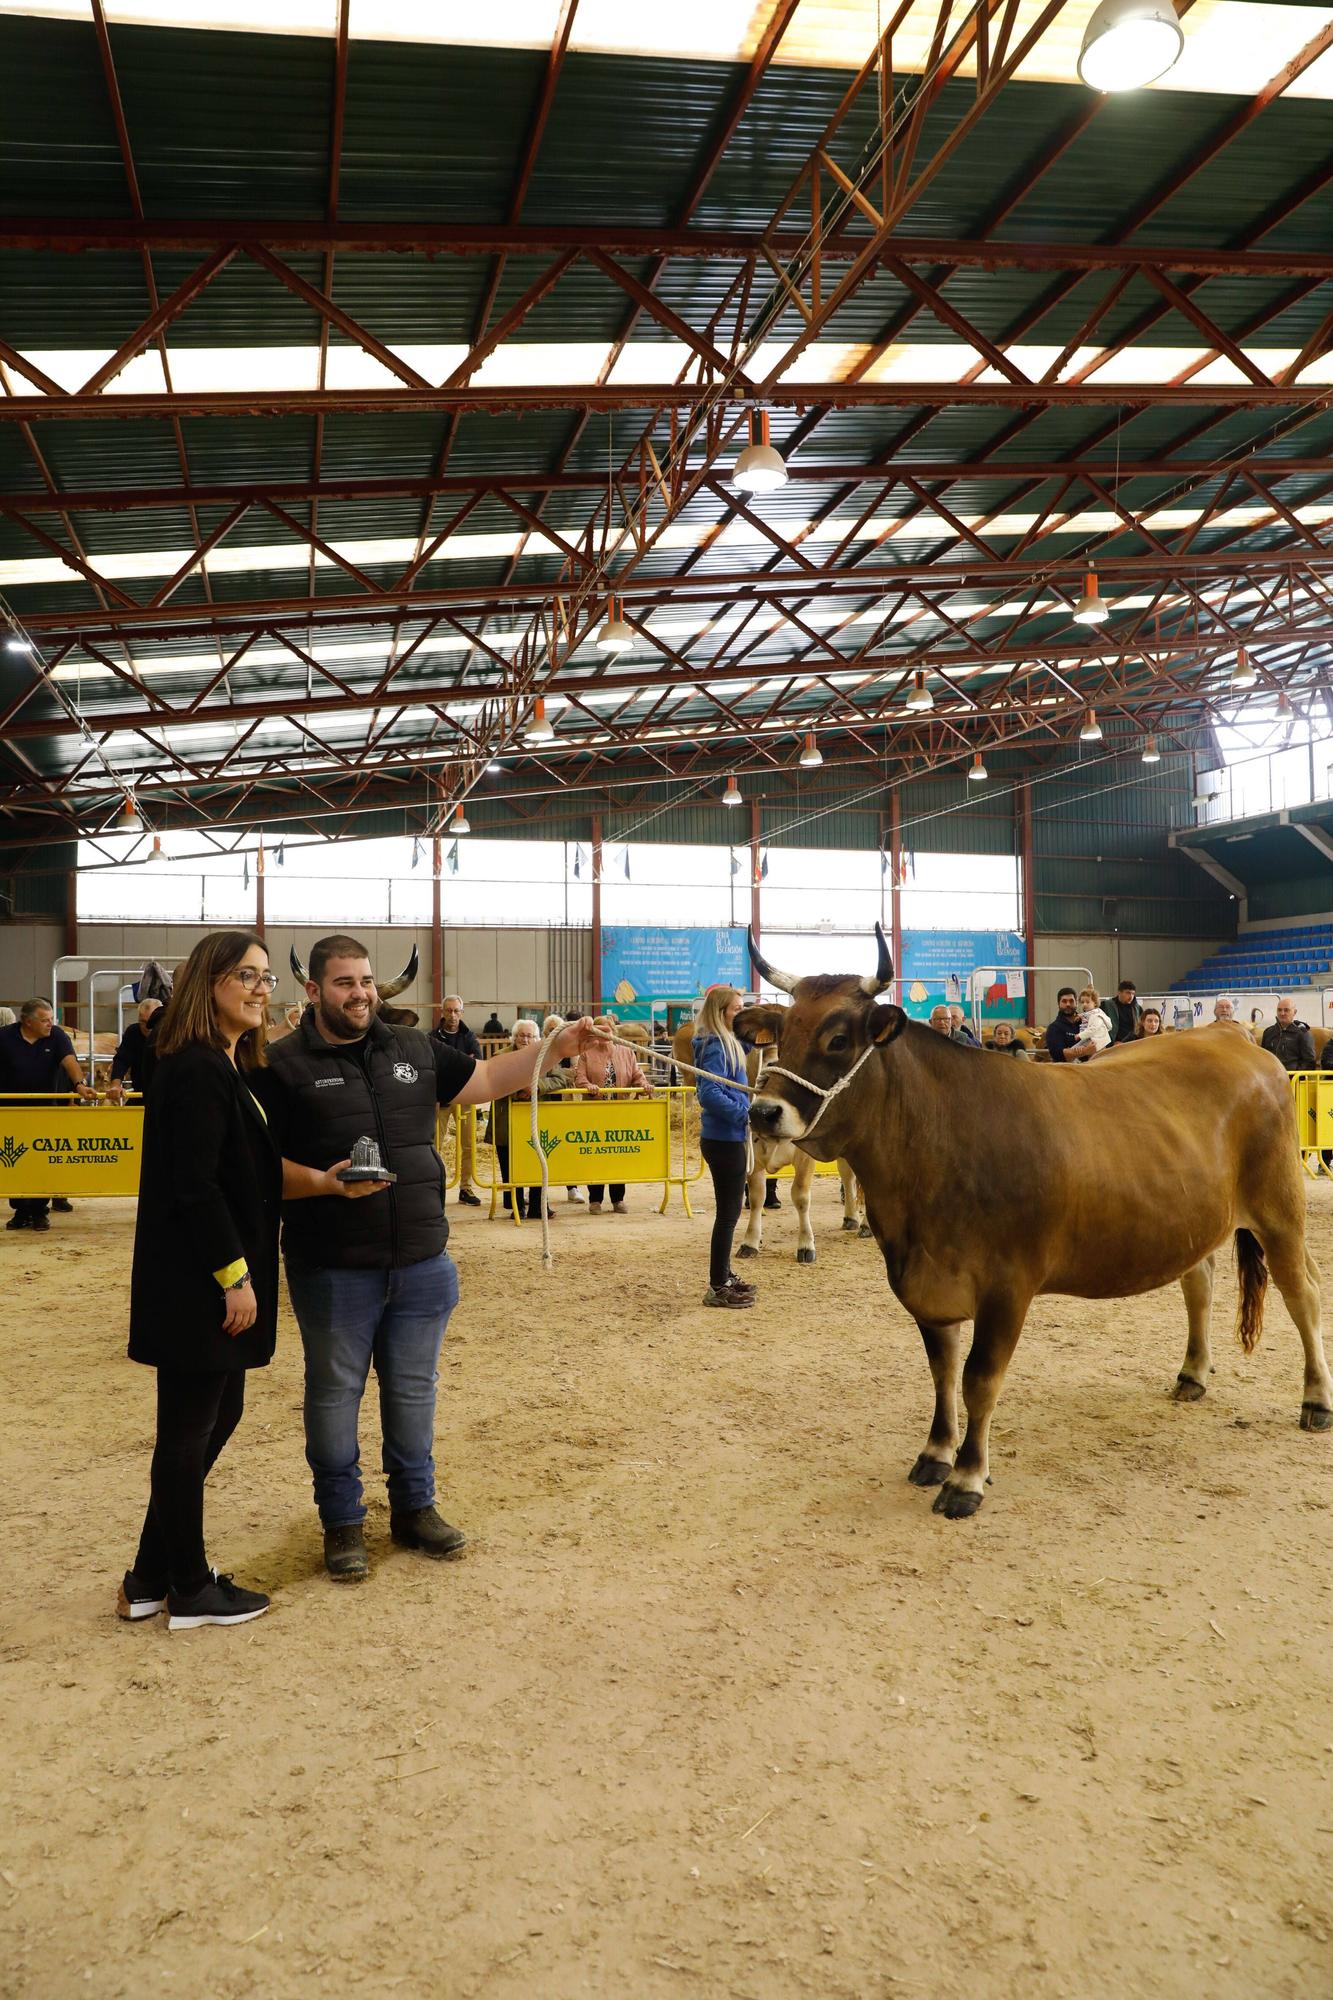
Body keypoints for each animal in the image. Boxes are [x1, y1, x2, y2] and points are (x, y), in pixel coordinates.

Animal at [740, 928, 1320, 1520]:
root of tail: (1231, 1034)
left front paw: (967, 1477)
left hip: (1279, 1208)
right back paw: (1193, 1374)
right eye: (781, 1033)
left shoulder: (1008, 1285)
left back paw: (1315, 1399)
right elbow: (942, 1372)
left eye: (838, 1039)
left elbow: (979, 1379)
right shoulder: (926, 1284)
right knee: (1200, 1284)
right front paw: (936, 1453)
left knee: (1303, 1293)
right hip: (1195, 1218)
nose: (762, 1112)